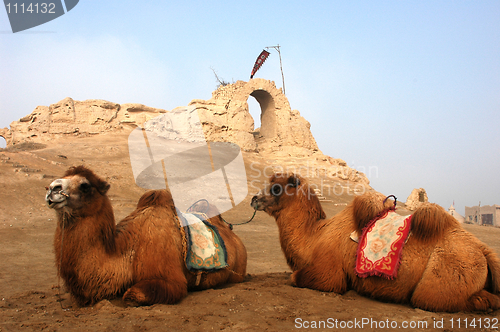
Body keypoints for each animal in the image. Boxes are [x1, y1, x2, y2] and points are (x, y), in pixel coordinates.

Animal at [45, 165, 248, 306]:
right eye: (63, 178)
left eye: (85, 185)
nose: (52, 188)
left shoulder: (170, 279)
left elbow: (132, 295)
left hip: (237, 272)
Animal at [252, 172, 500, 312]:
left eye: (276, 187)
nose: (254, 199)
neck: (316, 236)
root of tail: (483, 250)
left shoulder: (329, 275)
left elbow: (296, 277)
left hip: (439, 278)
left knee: (434, 299)